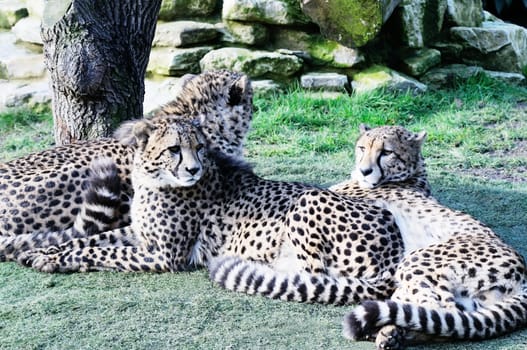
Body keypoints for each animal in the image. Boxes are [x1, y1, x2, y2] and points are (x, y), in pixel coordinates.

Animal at [17, 117, 404, 304]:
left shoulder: (164, 256)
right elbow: (91, 240)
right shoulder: (138, 233)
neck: (152, 180)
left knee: (316, 276)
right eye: (174, 149)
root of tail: (396, 251)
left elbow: (104, 254)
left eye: (200, 147)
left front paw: (57, 259)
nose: (193, 169)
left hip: (309, 201)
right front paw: (45, 251)